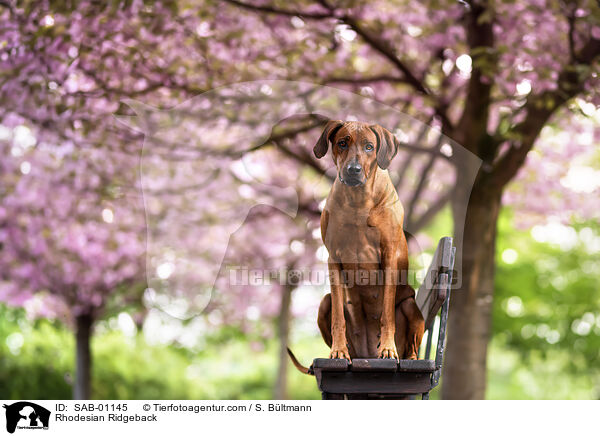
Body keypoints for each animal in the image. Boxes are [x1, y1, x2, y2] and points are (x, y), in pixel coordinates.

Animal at [288, 120, 424, 372]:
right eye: (342, 143)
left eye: (369, 146)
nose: (353, 169)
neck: (358, 200)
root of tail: (367, 355)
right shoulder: (333, 257)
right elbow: (338, 317)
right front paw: (338, 351)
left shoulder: (389, 255)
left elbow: (387, 313)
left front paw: (388, 348)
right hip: (324, 304)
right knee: (330, 305)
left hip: (410, 305)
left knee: (412, 342)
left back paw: (409, 358)